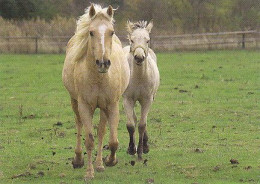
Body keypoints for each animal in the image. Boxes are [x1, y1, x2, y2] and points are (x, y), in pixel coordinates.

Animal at [61, 4, 130, 180]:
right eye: (91, 32)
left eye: (111, 32)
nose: (103, 63)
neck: (99, 78)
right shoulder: (85, 106)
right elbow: (89, 140)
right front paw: (89, 173)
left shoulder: (112, 106)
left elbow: (112, 140)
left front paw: (110, 161)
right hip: (75, 102)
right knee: (79, 125)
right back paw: (78, 160)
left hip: (103, 108)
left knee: (101, 131)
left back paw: (99, 164)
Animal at [123, 20, 159, 160]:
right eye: (132, 40)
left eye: (147, 40)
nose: (139, 57)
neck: (139, 77)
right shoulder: (127, 99)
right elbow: (131, 125)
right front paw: (132, 149)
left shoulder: (147, 100)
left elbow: (142, 125)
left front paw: (141, 151)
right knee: (133, 118)